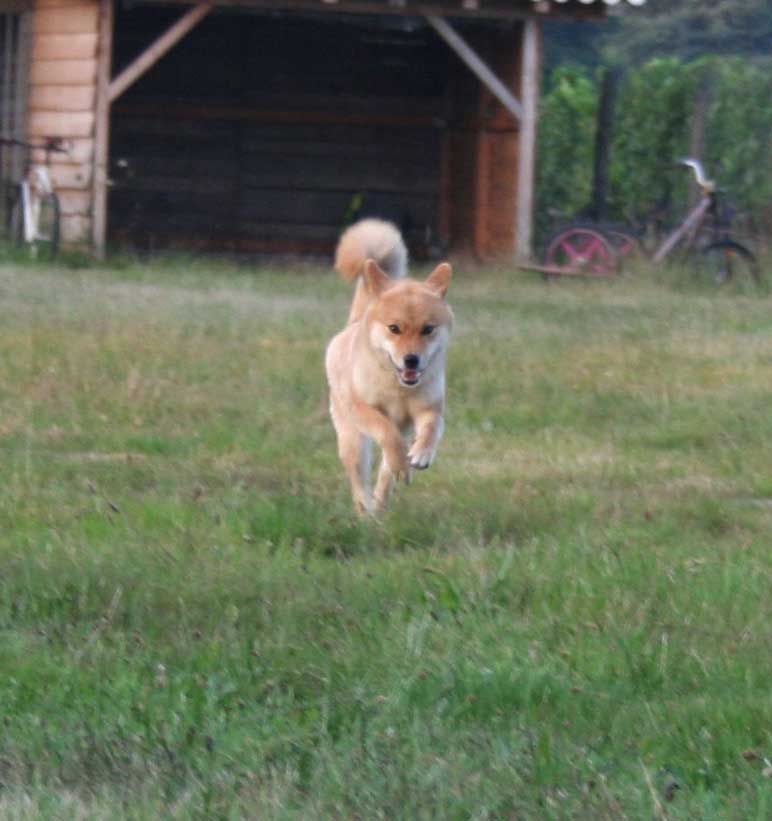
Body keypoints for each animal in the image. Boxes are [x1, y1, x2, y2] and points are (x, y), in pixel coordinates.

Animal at [324, 218, 452, 512]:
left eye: (428, 329)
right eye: (394, 328)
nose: (411, 359)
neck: (399, 389)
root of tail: (355, 322)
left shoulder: (429, 409)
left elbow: (432, 428)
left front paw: (421, 454)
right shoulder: (362, 409)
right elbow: (387, 432)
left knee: (387, 473)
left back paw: (384, 499)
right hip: (352, 440)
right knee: (361, 480)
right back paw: (367, 510)